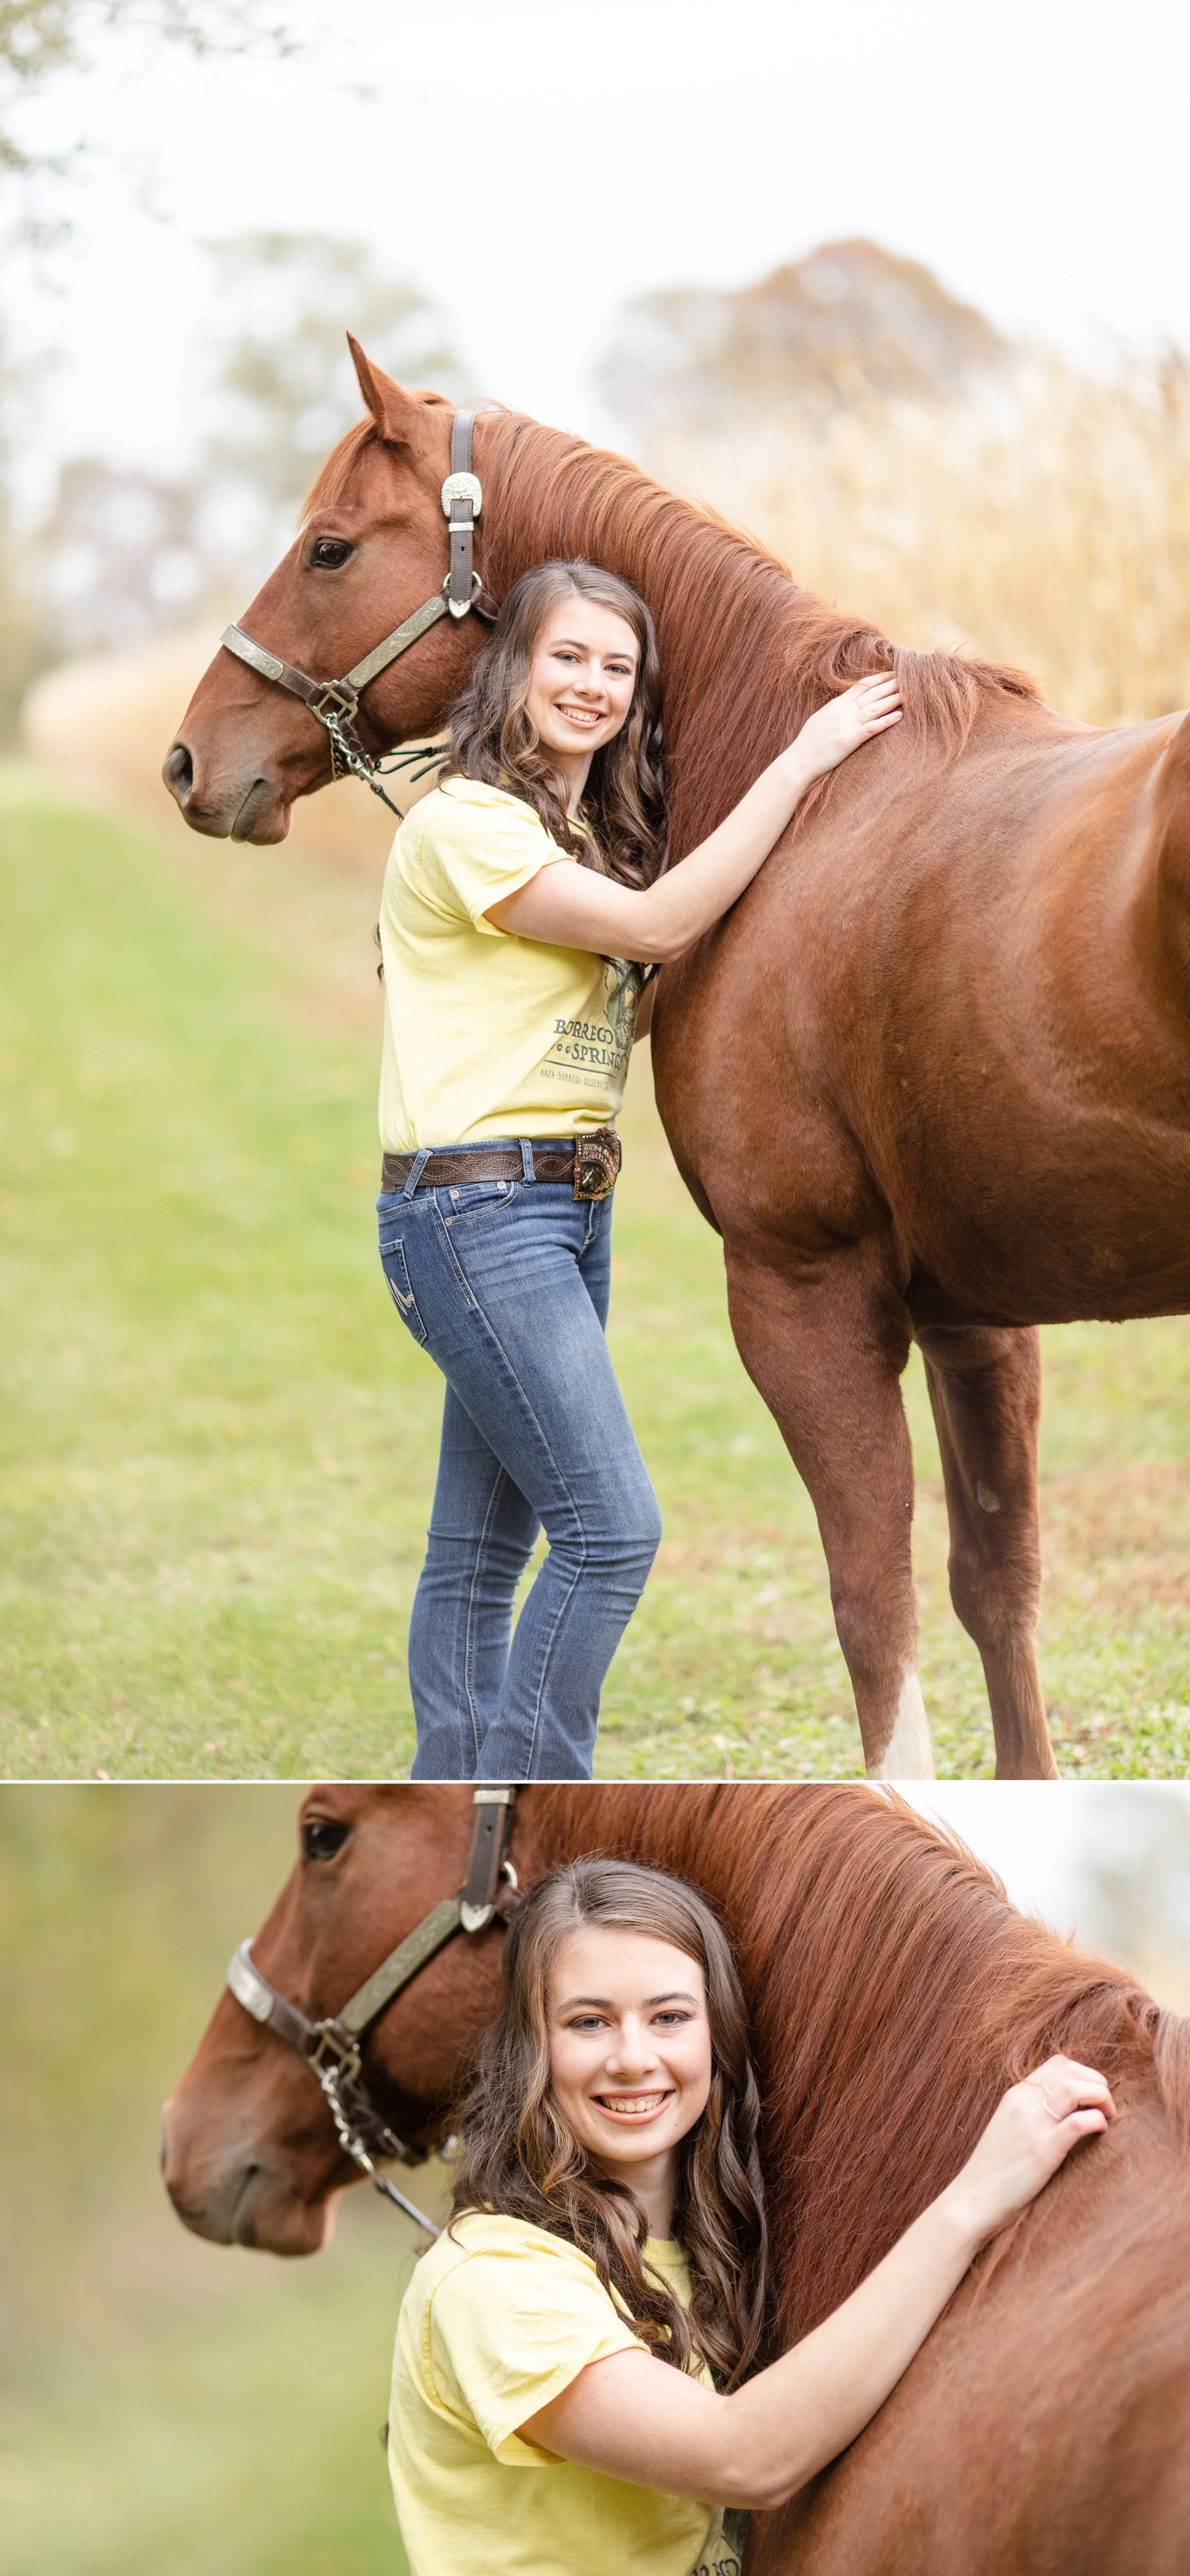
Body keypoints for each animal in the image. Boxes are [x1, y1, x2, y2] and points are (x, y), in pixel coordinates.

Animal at [162, 346, 1190, 1779]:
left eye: (329, 548)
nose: (192, 759)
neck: (807, 811)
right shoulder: (972, 1313)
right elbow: (997, 1592)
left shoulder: (801, 1288)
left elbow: (872, 1603)